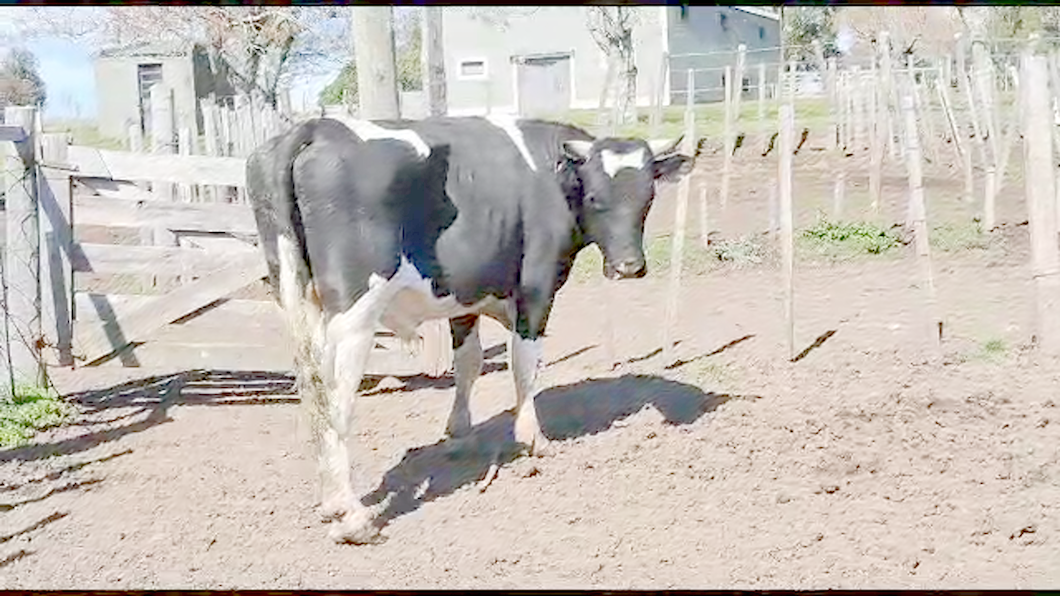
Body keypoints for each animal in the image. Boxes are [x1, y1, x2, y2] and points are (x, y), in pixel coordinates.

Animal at [246, 112, 695, 542]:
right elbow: (524, 363)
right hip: (354, 313)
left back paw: (329, 502)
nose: (629, 267)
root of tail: (315, 127)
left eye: (647, 196)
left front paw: (460, 434)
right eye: (595, 197)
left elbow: (469, 363)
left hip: (296, 297)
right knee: (336, 398)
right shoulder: (536, 287)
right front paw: (532, 438)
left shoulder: (464, 293)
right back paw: (351, 516)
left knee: (312, 391)